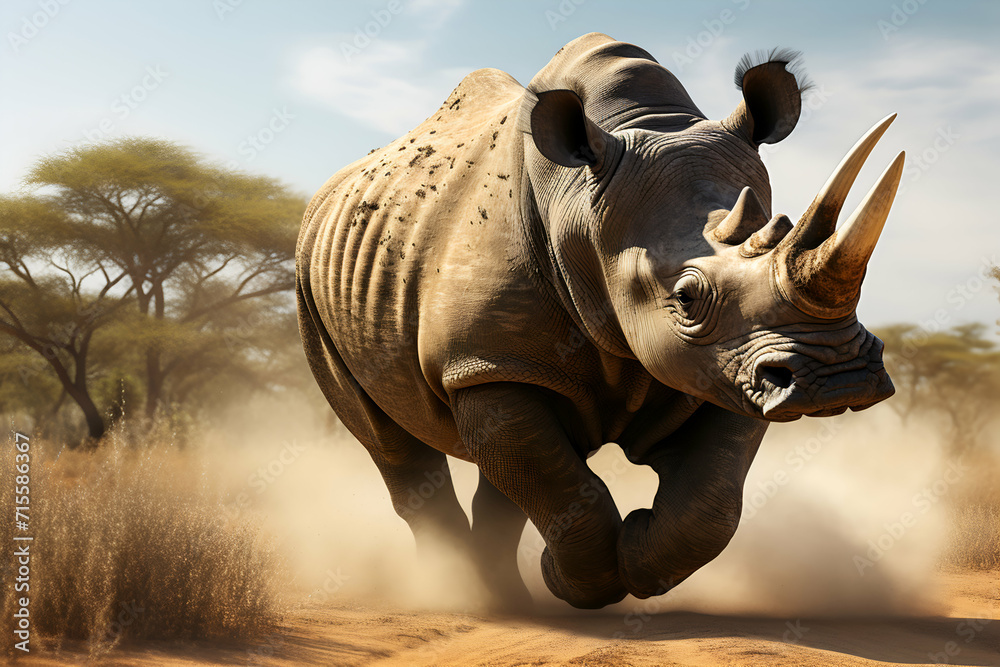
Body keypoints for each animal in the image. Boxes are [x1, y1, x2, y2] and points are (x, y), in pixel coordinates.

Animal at [296, 33, 901, 610]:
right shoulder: (483, 361)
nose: (839, 379)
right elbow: (554, 482)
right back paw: (464, 596)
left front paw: (625, 558)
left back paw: (510, 599)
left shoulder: (732, 364)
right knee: (393, 446)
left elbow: (710, 498)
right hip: (309, 284)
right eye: (685, 299)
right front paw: (571, 579)